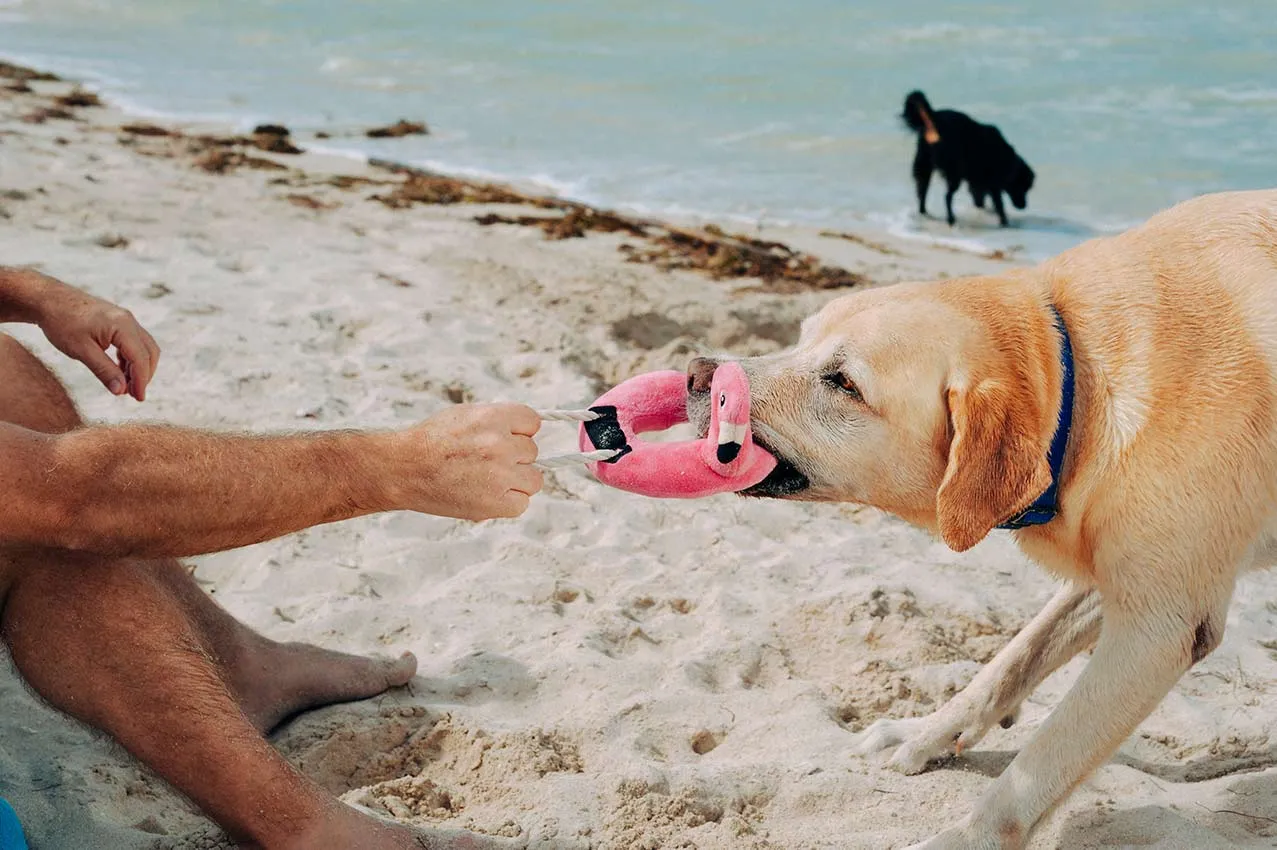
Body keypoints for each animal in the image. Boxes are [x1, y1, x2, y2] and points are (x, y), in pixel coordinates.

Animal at [694, 188, 1277, 842]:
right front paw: (926, 734)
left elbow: (1039, 763)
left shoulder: (1162, 626)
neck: (1078, 379)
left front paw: (962, 839)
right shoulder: (1112, 568)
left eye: (843, 383)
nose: (696, 375)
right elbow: (1009, 661)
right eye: (799, 337)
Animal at [904, 89, 1031, 224]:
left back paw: (924, 213)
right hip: (954, 173)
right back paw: (951, 219)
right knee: (947, 196)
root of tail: (934, 118)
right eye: (1023, 187)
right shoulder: (992, 184)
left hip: (924, 166)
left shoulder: (978, 182)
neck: (1007, 160)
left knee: (922, 193)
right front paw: (1004, 222)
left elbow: (980, 199)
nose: (1024, 206)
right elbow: (999, 204)